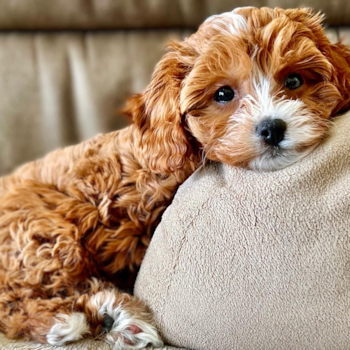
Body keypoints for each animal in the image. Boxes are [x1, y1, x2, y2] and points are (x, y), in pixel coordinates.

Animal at [0, 6, 350, 350]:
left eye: (294, 79)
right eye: (223, 93)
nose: (272, 128)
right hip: (43, 233)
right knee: (16, 299)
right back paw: (67, 319)